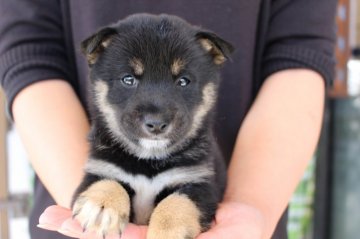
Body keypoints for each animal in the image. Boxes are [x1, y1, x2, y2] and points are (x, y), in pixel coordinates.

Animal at [72, 14, 235, 238]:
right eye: (128, 79)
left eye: (183, 81)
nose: (157, 124)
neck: (148, 161)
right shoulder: (99, 169)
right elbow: (107, 181)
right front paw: (102, 206)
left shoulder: (201, 184)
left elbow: (178, 201)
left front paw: (168, 230)